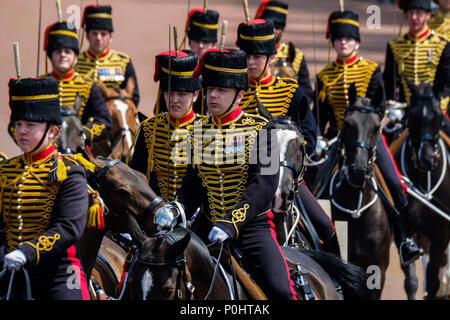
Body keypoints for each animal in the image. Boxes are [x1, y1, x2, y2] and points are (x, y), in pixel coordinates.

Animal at [394, 78, 450, 300]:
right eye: (412, 115)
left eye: (438, 116)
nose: (427, 158)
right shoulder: (404, 231)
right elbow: (411, 281)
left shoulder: (441, 232)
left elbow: (434, 279)